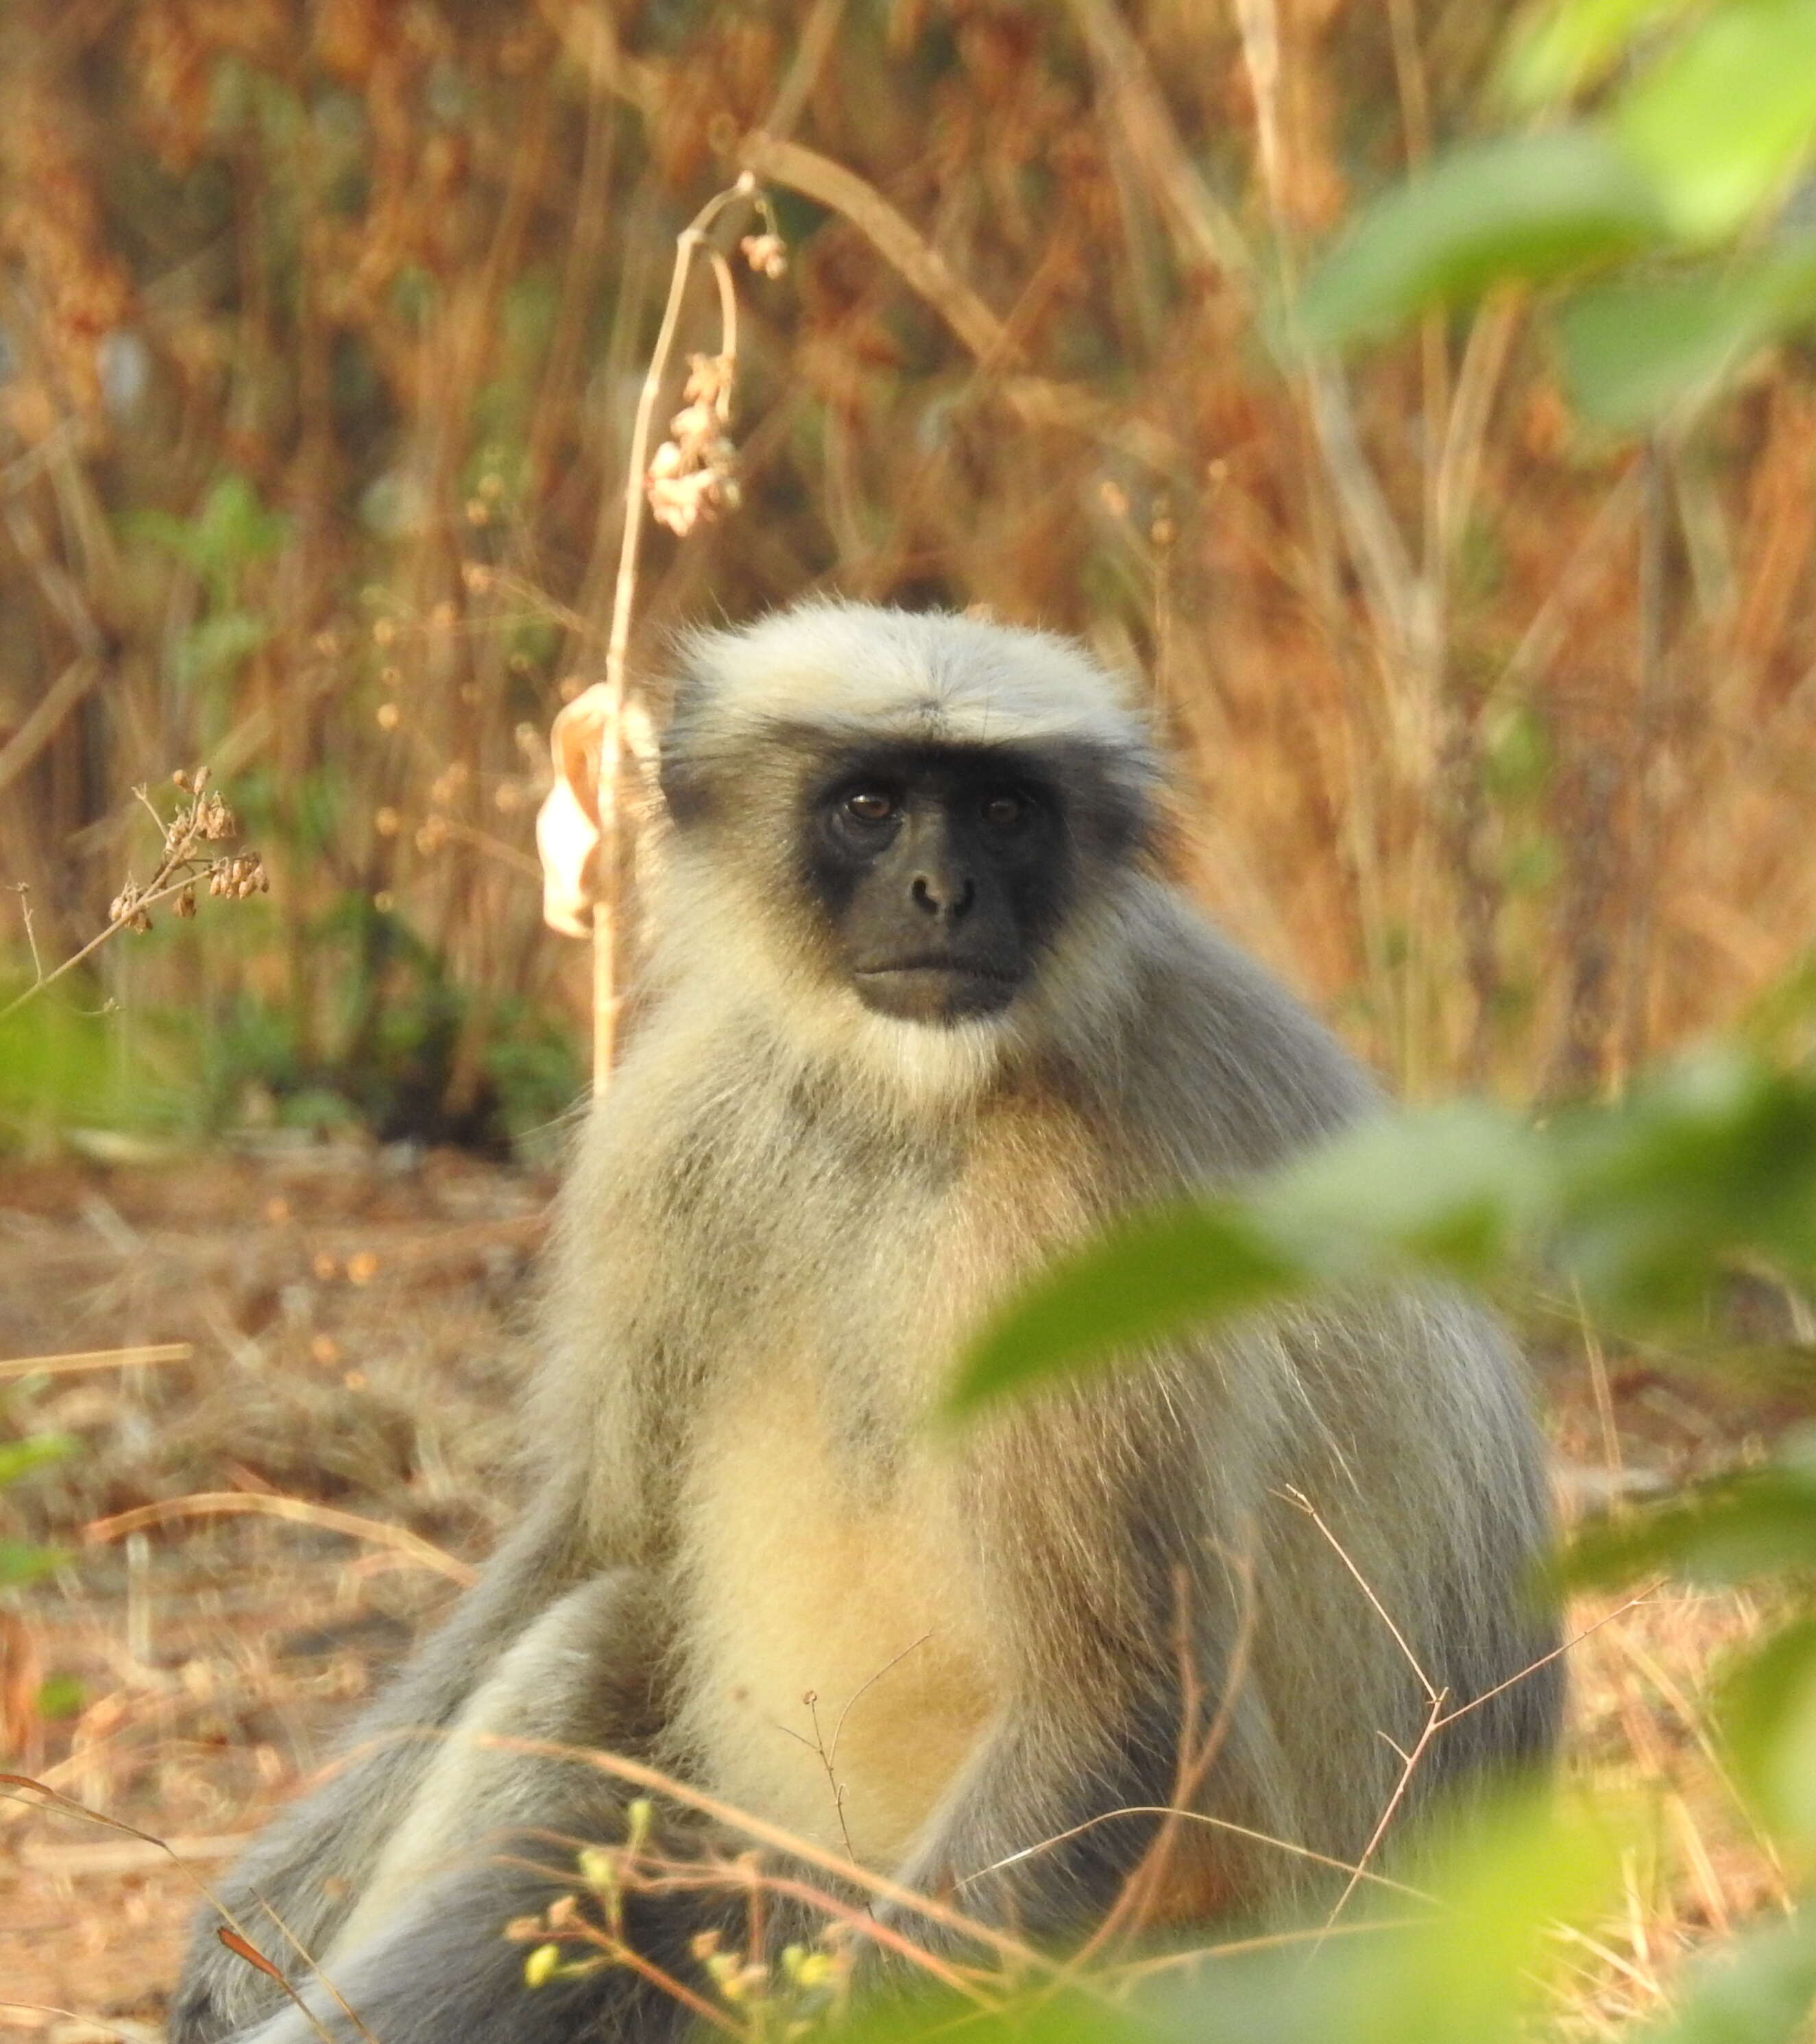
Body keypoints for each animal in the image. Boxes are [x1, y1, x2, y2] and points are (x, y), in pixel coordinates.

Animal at [173, 600, 1562, 2044]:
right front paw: (246, 1932)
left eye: (1003, 811)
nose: (941, 892)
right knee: (594, 1640)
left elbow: (1122, 1709)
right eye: (867, 806)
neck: (910, 1099)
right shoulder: (687, 1111)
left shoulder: (1087, 1210)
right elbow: (605, 1532)